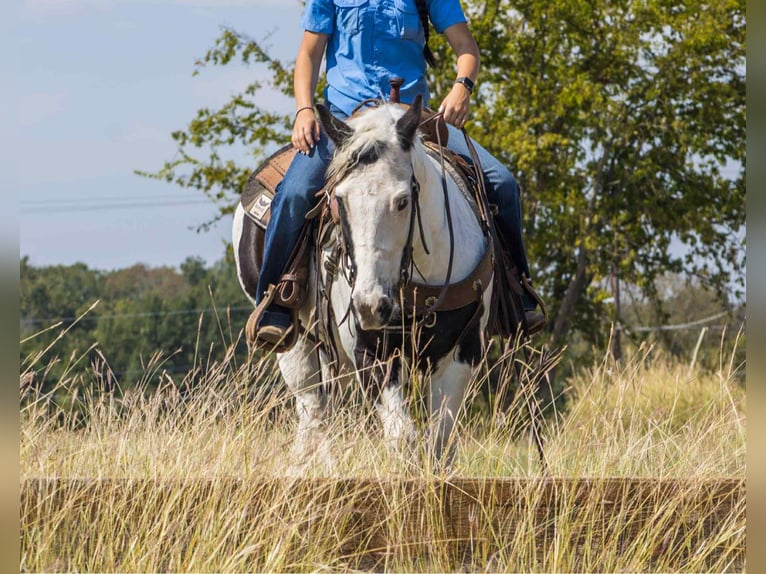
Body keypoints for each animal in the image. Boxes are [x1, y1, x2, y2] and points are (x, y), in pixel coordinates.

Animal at [232, 95, 494, 469]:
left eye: (402, 200)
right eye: (338, 200)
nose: (370, 306)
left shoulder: (464, 349)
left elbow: (439, 442)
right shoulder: (370, 354)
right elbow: (401, 437)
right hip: (295, 344)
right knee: (312, 412)